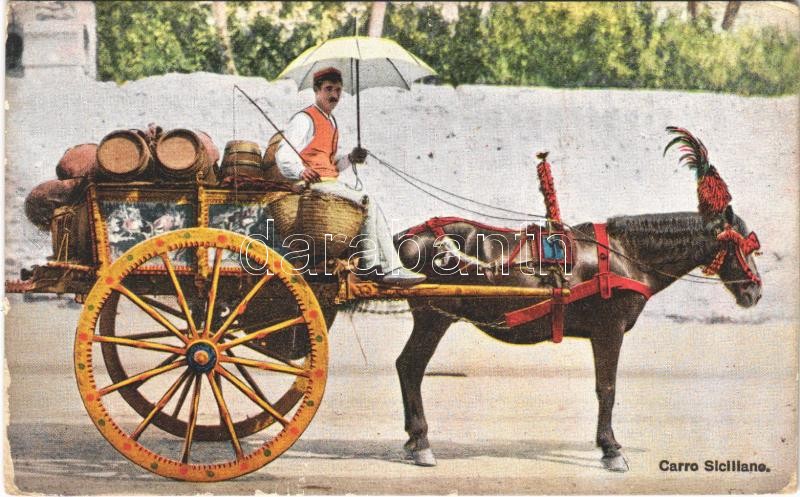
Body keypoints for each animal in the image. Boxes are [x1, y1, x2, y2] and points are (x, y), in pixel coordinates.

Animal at [388, 128, 764, 468]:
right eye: (743, 247)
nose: (755, 292)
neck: (624, 256)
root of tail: (410, 238)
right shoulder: (609, 330)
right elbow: (607, 388)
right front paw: (611, 449)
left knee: (406, 366)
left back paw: (414, 440)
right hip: (435, 315)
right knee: (411, 367)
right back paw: (421, 441)